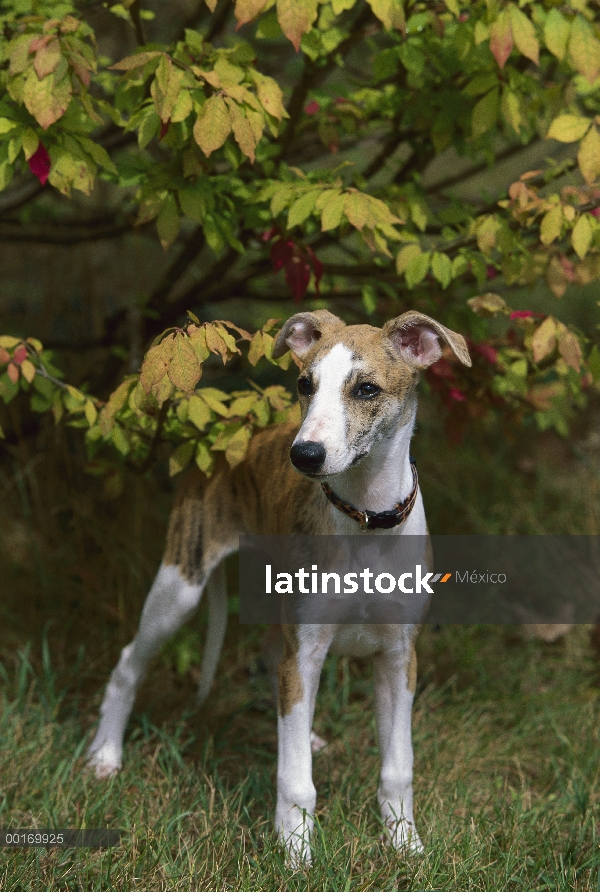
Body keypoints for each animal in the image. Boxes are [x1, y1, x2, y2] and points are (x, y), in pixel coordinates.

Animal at [86, 312, 472, 864]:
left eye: (367, 389)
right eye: (304, 385)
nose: (304, 455)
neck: (364, 518)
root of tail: (221, 437)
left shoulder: (399, 657)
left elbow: (399, 765)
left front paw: (405, 844)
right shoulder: (306, 648)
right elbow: (296, 780)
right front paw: (297, 853)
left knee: (273, 659)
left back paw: (306, 734)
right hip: (180, 585)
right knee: (128, 664)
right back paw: (105, 754)